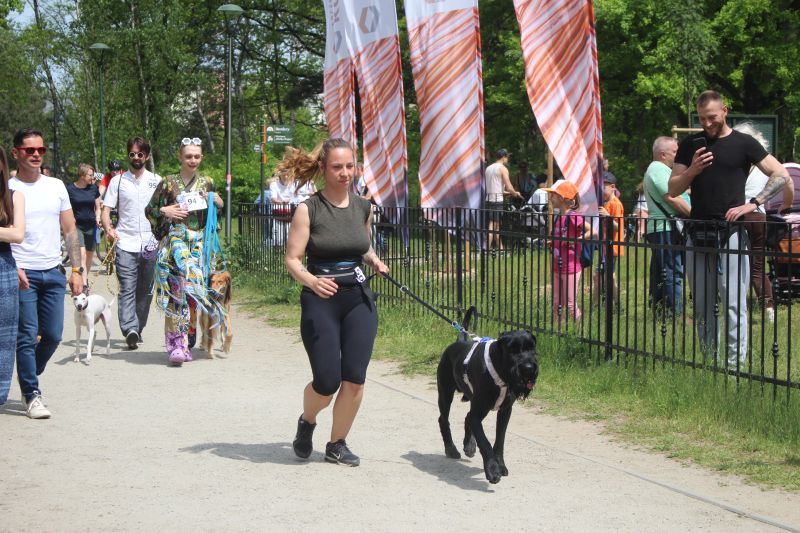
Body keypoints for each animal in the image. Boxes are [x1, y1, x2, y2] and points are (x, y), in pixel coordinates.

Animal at [437, 306, 539, 484]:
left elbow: (499, 441)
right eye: (512, 349)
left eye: (531, 347)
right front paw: (492, 470)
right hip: (445, 393)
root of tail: (458, 342)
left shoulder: (505, 411)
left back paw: (469, 446)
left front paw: (501, 465)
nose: (528, 368)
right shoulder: (479, 413)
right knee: (444, 419)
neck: (501, 371)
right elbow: (485, 442)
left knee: (467, 417)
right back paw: (451, 449)